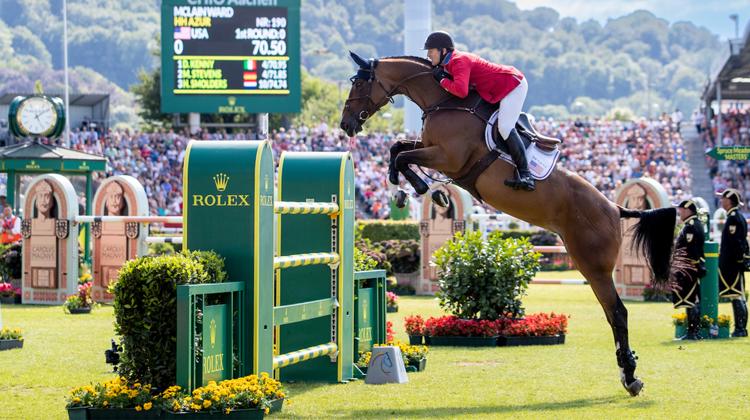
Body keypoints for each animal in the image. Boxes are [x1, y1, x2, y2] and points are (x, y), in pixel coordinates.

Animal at [344, 50, 680, 396]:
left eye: (359, 83)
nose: (346, 124)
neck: (443, 100)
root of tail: (614, 208)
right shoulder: (431, 149)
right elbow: (397, 147)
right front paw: (414, 188)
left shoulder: (447, 157)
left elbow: (401, 155)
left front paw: (423, 189)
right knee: (614, 313)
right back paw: (629, 373)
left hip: (594, 265)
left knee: (617, 312)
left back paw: (630, 376)